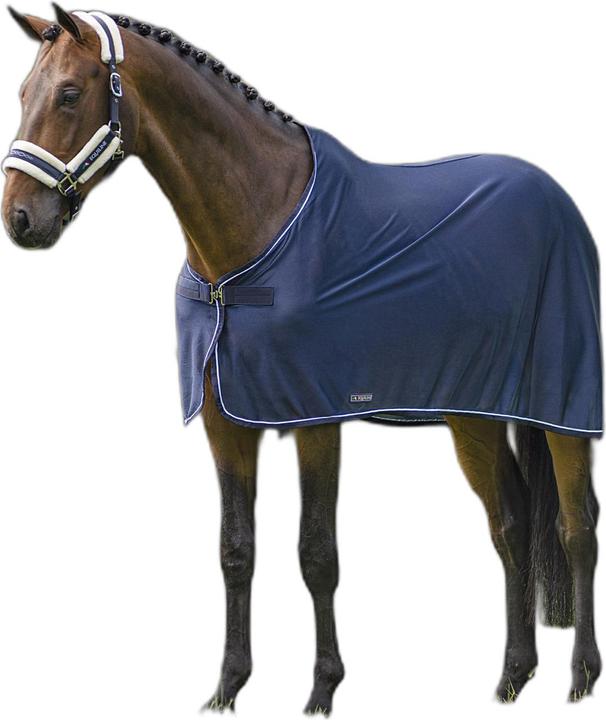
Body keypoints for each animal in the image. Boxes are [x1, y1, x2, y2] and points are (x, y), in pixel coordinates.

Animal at [1, 6, 601, 714]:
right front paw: (227, 686)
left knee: (576, 527)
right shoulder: (226, 423)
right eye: (22, 94)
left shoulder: (314, 417)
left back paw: (580, 675)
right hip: (473, 415)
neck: (253, 230)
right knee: (510, 525)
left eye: (69, 93)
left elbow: (317, 554)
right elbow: (236, 550)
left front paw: (322, 687)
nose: (20, 218)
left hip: (561, 406)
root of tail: (556, 200)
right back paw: (513, 675)